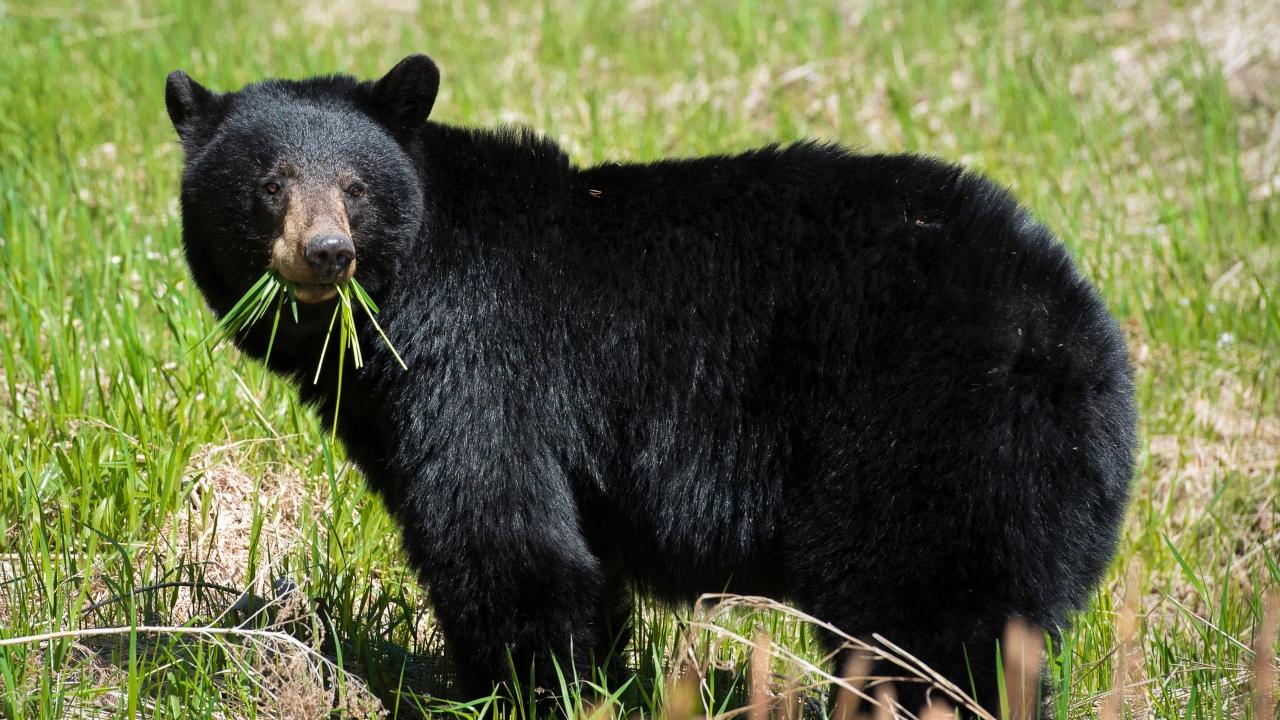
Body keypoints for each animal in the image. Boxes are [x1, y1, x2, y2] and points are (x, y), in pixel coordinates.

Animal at [165, 54, 1137, 714]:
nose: (327, 252)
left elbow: (505, 535)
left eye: (356, 185)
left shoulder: (482, 365)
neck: (398, 304)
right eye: (269, 183)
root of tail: (1084, 334)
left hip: (931, 444)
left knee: (927, 627)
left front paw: (507, 693)